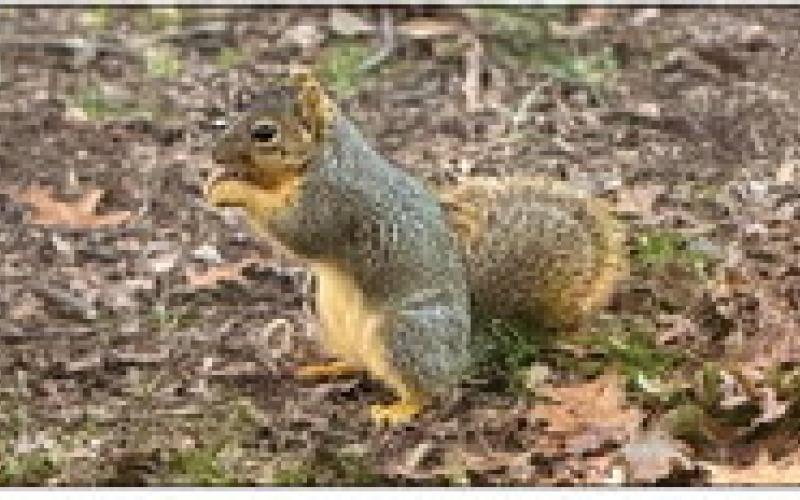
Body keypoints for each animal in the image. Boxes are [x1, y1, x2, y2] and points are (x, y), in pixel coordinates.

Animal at [206, 72, 627, 424]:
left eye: (265, 133)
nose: (215, 153)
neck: (324, 157)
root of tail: (461, 354)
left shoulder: (333, 202)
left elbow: (297, 231)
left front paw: (232, 190)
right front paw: (220, 178)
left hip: (404, 331)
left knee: (428, 389)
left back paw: (399, 409)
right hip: (331, 315)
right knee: (363, 364)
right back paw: (331, 367)